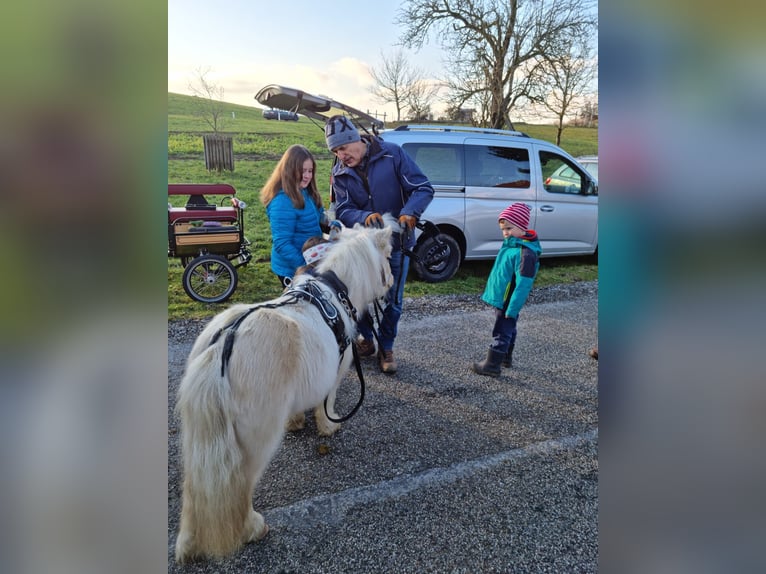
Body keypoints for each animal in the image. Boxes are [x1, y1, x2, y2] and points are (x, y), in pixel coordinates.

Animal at [176, 224, 392, 564]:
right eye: (388, 255)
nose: (393, 282)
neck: (335, 291)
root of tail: (222, 345)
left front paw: (296, 422)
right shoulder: (335, 371)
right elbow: (326, 402)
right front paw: (328, 426)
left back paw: (188, 545)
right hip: (255, 442)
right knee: (240, 487)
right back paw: (253, 528)